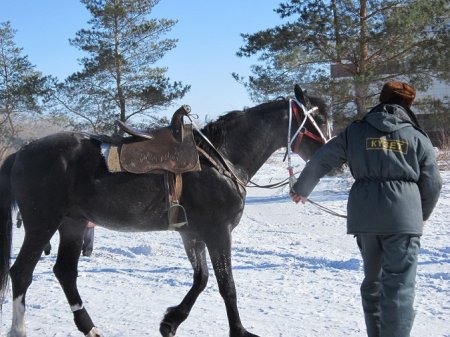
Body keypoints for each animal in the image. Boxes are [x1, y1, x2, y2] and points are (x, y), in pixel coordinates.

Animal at [0, 84, 326, 336]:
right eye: (319, 118)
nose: (331, 153)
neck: (221, 160)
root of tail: (22, 152)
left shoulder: (192, 235)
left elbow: (201, 279)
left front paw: (171, 321)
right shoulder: (218, 233)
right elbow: (227, 286)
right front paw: (239, 331)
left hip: (73, 223)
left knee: (65, 272)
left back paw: (89, 327)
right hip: (43, 223)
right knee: (21, 273)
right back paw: (19, 329)